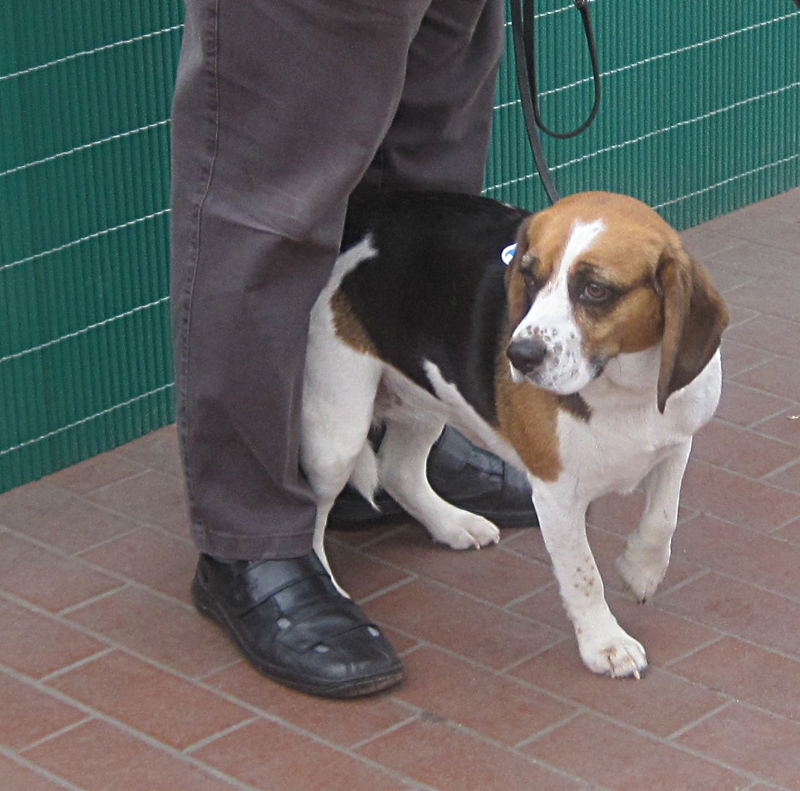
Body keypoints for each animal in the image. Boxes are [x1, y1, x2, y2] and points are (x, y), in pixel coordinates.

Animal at [300, 189, 724, 676]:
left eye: (595, 290)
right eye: (529, 277)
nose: (518, 355)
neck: (623, 390)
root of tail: (360, 210)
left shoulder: (677, 442)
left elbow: (663, 519)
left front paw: (641, 571)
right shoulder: (556, 496)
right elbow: (583, 573)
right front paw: (604, 643)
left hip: (428, 396)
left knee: (398, 470)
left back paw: (452, 524)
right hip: (336, 431)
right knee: (312, 513)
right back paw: (327, 588)